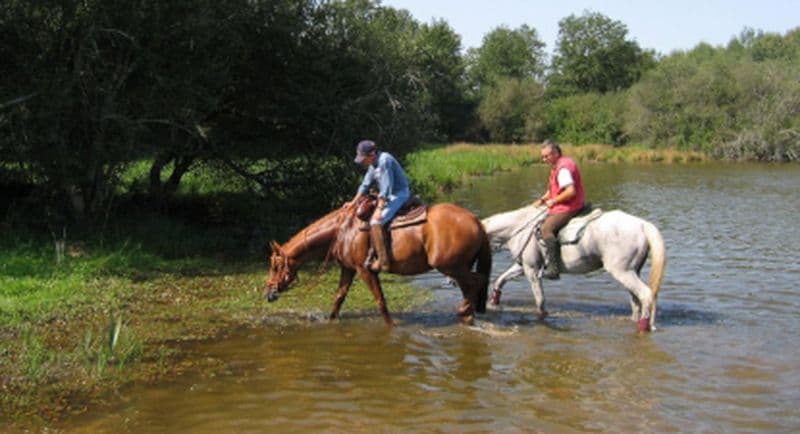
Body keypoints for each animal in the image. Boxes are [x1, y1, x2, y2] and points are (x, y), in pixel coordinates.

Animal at [265, 196, 492, 326]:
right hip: (458, 267)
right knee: (469, 287)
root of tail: (476, 221)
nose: (268, 292)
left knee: (477, 281)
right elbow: (339, 298)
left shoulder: (365, 270)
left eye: (275, 266)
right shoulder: (348, 268)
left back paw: (464, 311)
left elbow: (381, 302)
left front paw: (391, 327)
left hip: (450, 266)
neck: (343, 230)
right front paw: (330, 320)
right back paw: (467, 315)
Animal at [482, 205, 665, 332]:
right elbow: (501, 279)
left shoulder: (531, 270)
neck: (518, 228)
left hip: (623, 272)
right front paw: (494, 301)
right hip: (632, 271)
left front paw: (542, 319)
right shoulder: (523, 266)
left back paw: (644, 327)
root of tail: (642, 224)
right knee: (636, 300)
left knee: (646, 295)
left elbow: (540, 300)